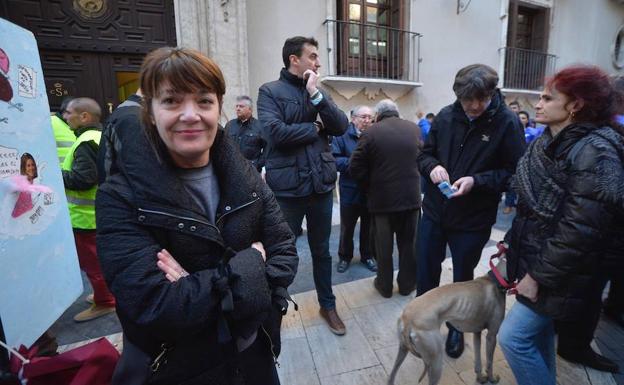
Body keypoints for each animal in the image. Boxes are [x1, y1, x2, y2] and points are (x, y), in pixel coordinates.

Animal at [388, 255, 510, 384]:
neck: (494, 280)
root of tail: (408, 320)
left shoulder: (477, 332)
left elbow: (478, 362)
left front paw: (480, 378)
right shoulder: (492, 336)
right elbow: (489, 363)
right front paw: (492, 379)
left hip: (403, 348)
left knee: (391, 376)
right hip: (436, 361)